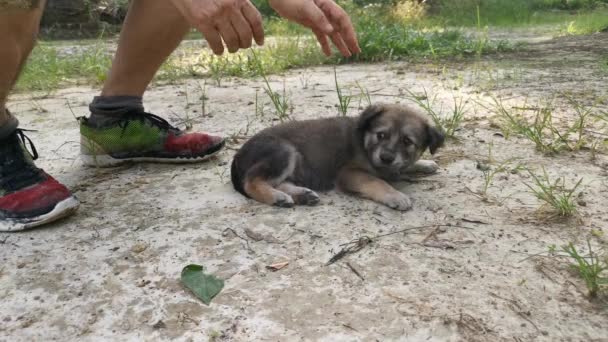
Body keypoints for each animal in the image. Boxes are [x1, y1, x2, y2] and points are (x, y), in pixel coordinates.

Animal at [230, 103, 444, 211]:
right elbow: (377, 182)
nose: (386, 158)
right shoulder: (349, 173)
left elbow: (404, 165)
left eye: (407, 141)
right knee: (252, 181)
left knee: (278, 181)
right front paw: (395, 195)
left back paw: (301, 195)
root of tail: (238, 155)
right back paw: (277, 197)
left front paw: (425, 163)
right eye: (381, 135)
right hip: (284, 150)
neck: (365, 142)